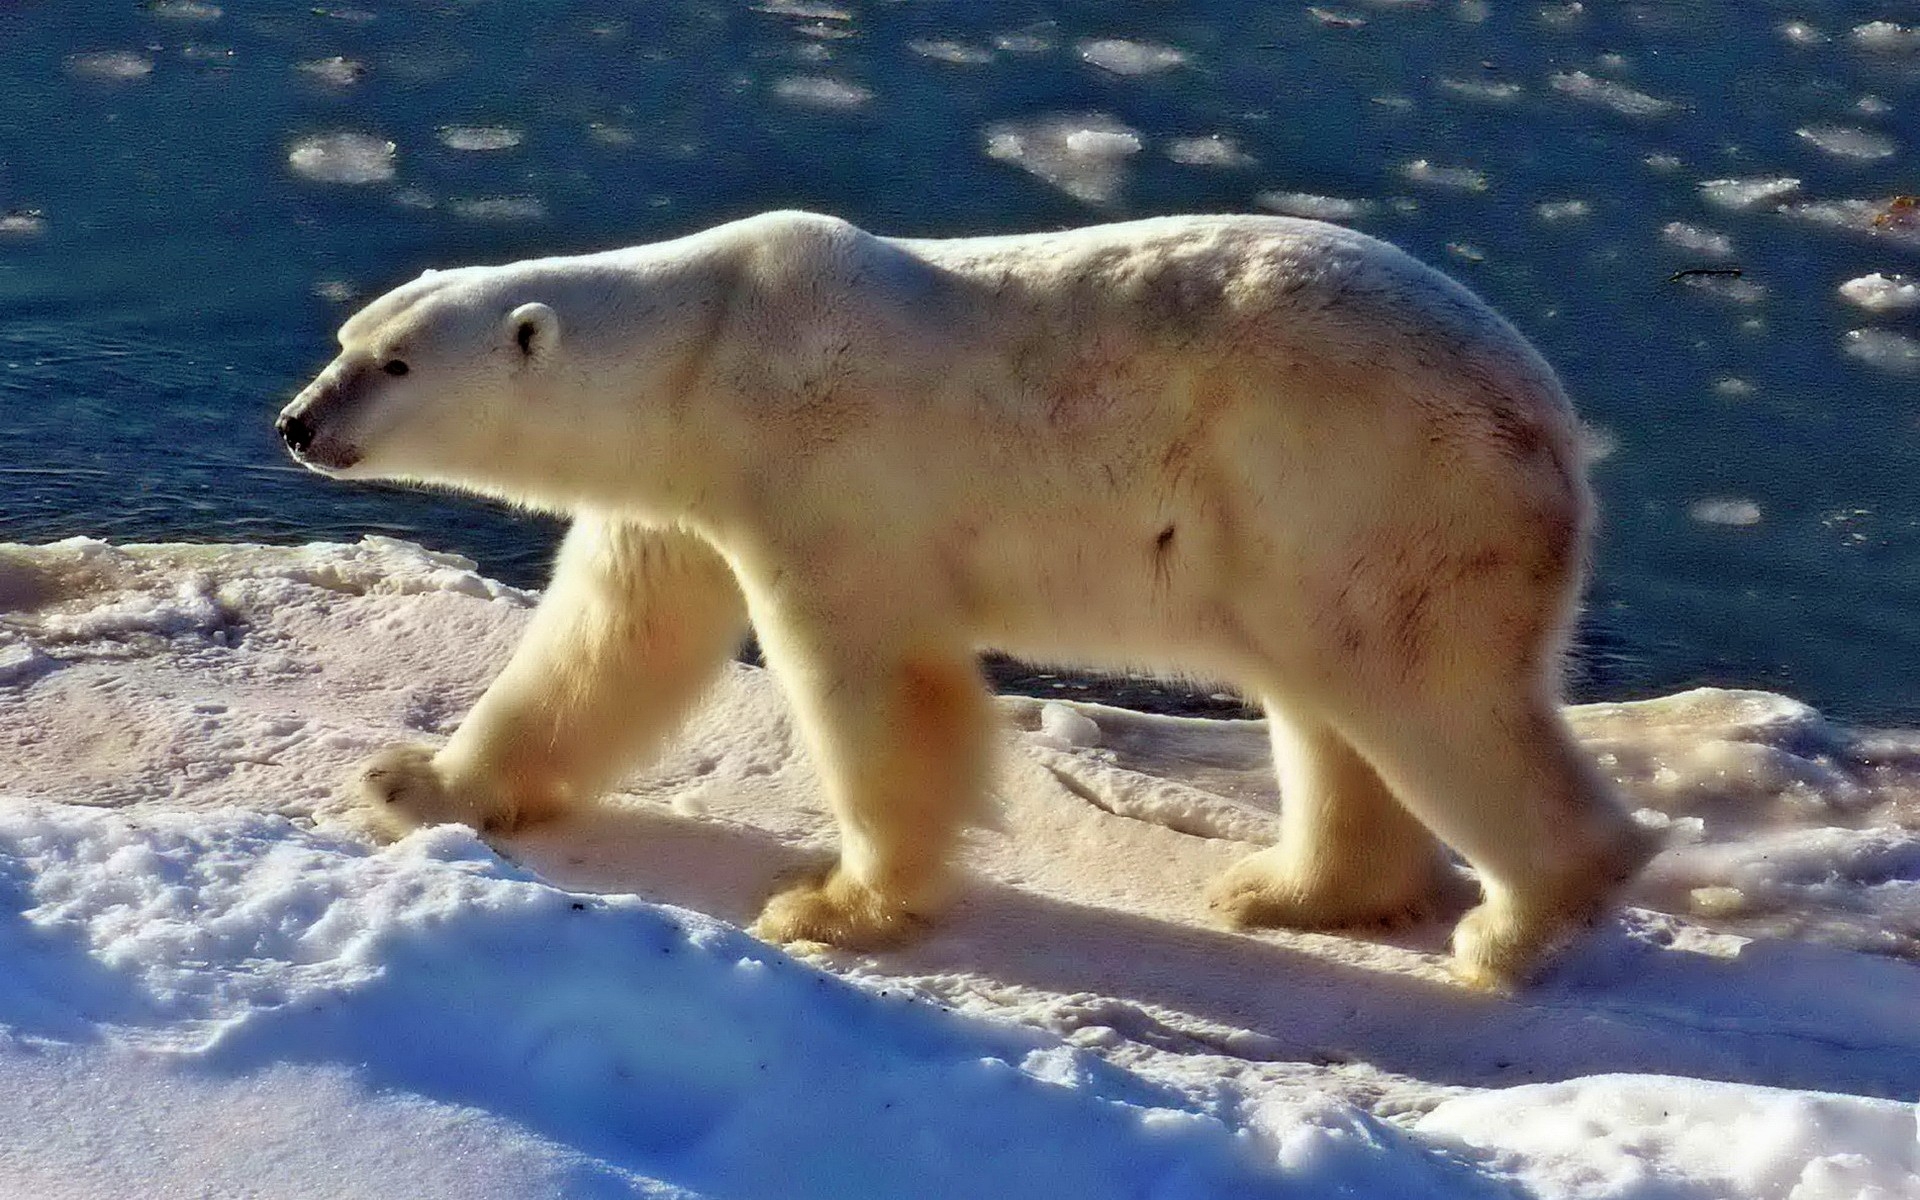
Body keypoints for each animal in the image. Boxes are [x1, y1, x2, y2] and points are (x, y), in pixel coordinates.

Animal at [278, 210, 1658, 990]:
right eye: (345, 338)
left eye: (394, 364)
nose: (296, 423)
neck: (708, 345)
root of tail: (1558, 426)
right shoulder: (680, 499)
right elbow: (609, 640)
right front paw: (415, 783)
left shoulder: (820, 466)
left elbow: (875, 679)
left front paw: (836, 906)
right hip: (1306, 527)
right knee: (1324, 697)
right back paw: (1294, 890)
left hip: (1377, 484)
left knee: (1423, 689)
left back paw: (1519, 928)